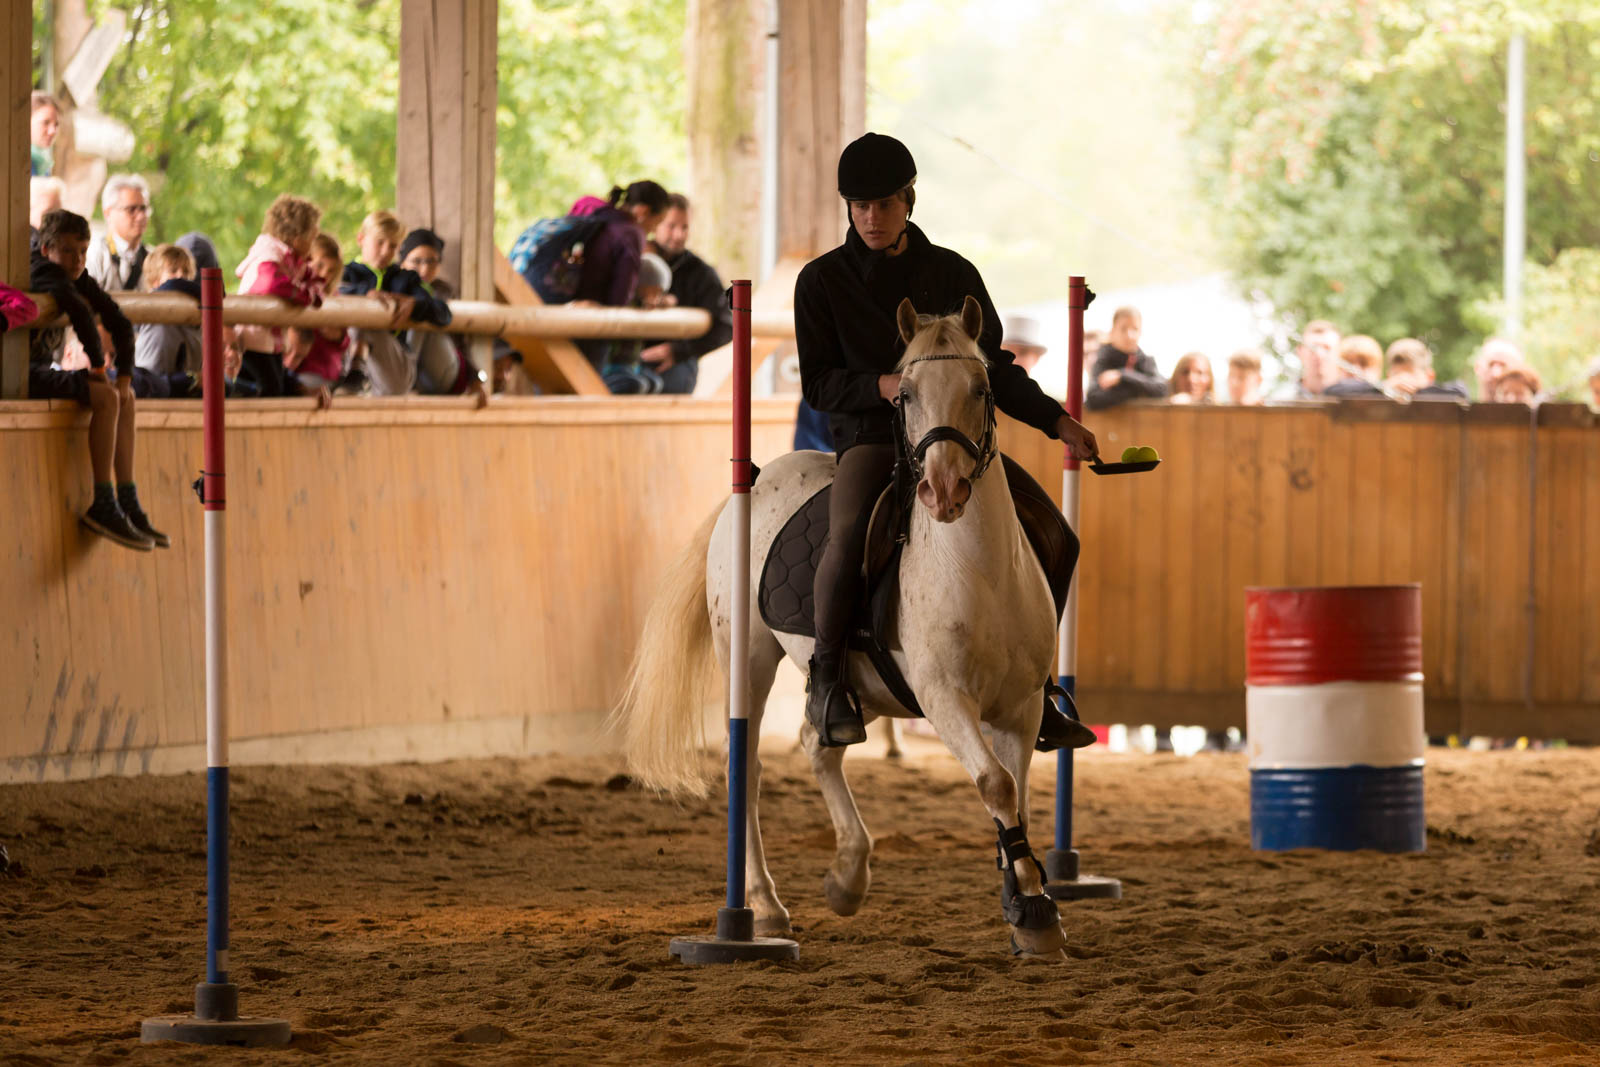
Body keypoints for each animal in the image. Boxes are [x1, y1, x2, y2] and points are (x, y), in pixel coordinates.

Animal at [617, 295, 1068, 953]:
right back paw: (763, 908)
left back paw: (848, 876)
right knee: (746, 766)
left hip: (864, 689)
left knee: (818, 740)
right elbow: (996, 785)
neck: (978, 568)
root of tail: (758, 478)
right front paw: (1033, 911)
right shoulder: (944, 699)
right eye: (903, 394)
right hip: (747, 659)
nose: (944, 489)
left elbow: (1020, 798)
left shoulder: (1024, 704)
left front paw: (1026, 899)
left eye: (983, 387)